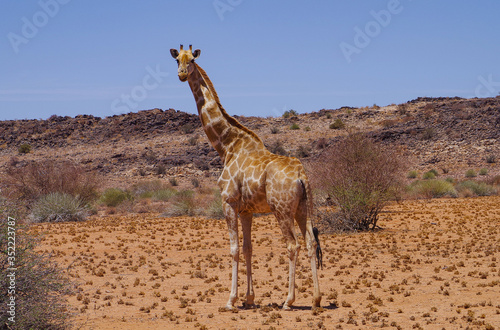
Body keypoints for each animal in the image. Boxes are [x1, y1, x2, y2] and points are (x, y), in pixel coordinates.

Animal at [170, 45, 322, 310]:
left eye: (192, 61)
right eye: (177, 59)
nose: (181, 74)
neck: (227, 146)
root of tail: (302, 176)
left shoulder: (229, 202)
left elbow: (234, 249)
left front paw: (231, 300)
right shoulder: (246, 210)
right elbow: (248, 248)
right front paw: (249, 299)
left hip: (281, 209)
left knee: (292, 245)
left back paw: (288, 300)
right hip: (304, 206)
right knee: (310, 242)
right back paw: (316, 299)